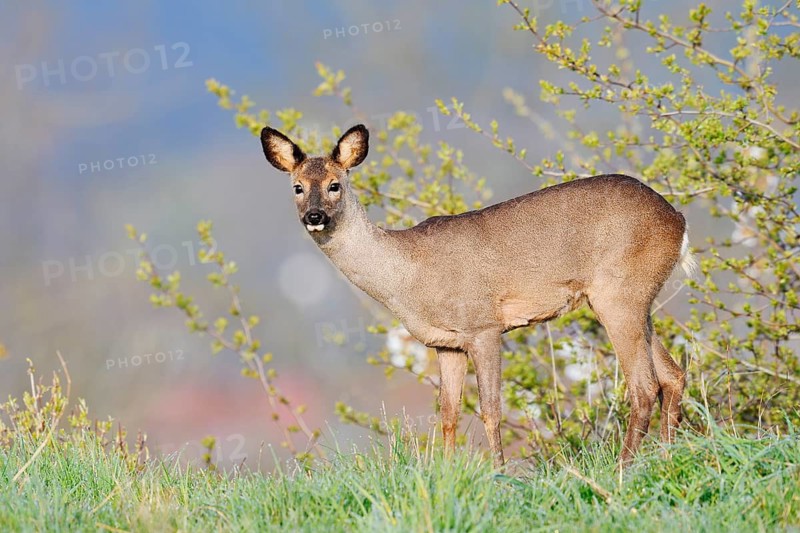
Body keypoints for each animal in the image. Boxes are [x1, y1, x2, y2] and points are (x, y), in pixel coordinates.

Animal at [260, 124, 695, 468]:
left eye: (335, 185)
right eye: (298, 187)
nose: (315, 216)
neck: (408, 275)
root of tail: (678, 220)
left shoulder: (483, 325)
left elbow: (491, 410)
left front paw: (500, 474)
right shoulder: (446, 342)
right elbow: (448, 413)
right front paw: (448, 473)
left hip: (617, 293)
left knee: (644, 386)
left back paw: (624, 468)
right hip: (637, 301)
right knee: (672, 375)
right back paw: (666, 457)